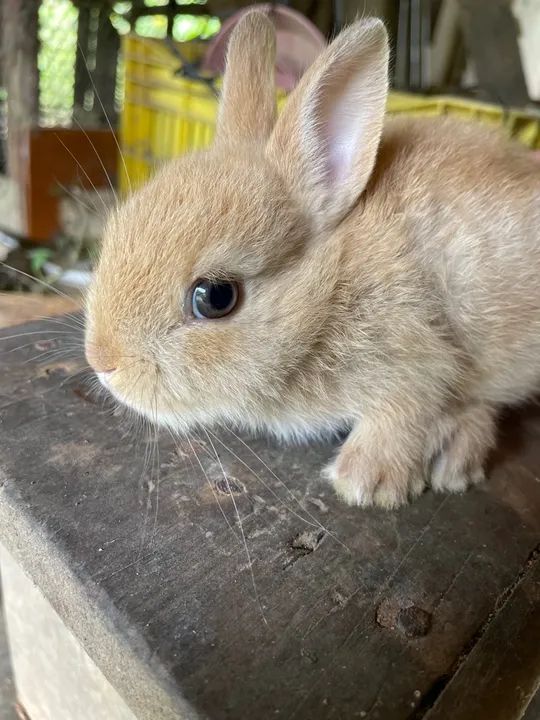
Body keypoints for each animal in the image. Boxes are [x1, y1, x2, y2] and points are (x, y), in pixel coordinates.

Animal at [85, 11, 540, 509]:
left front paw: (366, 482)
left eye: (215, 297)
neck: (329, 284)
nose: (103, 364)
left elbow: (404, 408)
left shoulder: (417, 351)